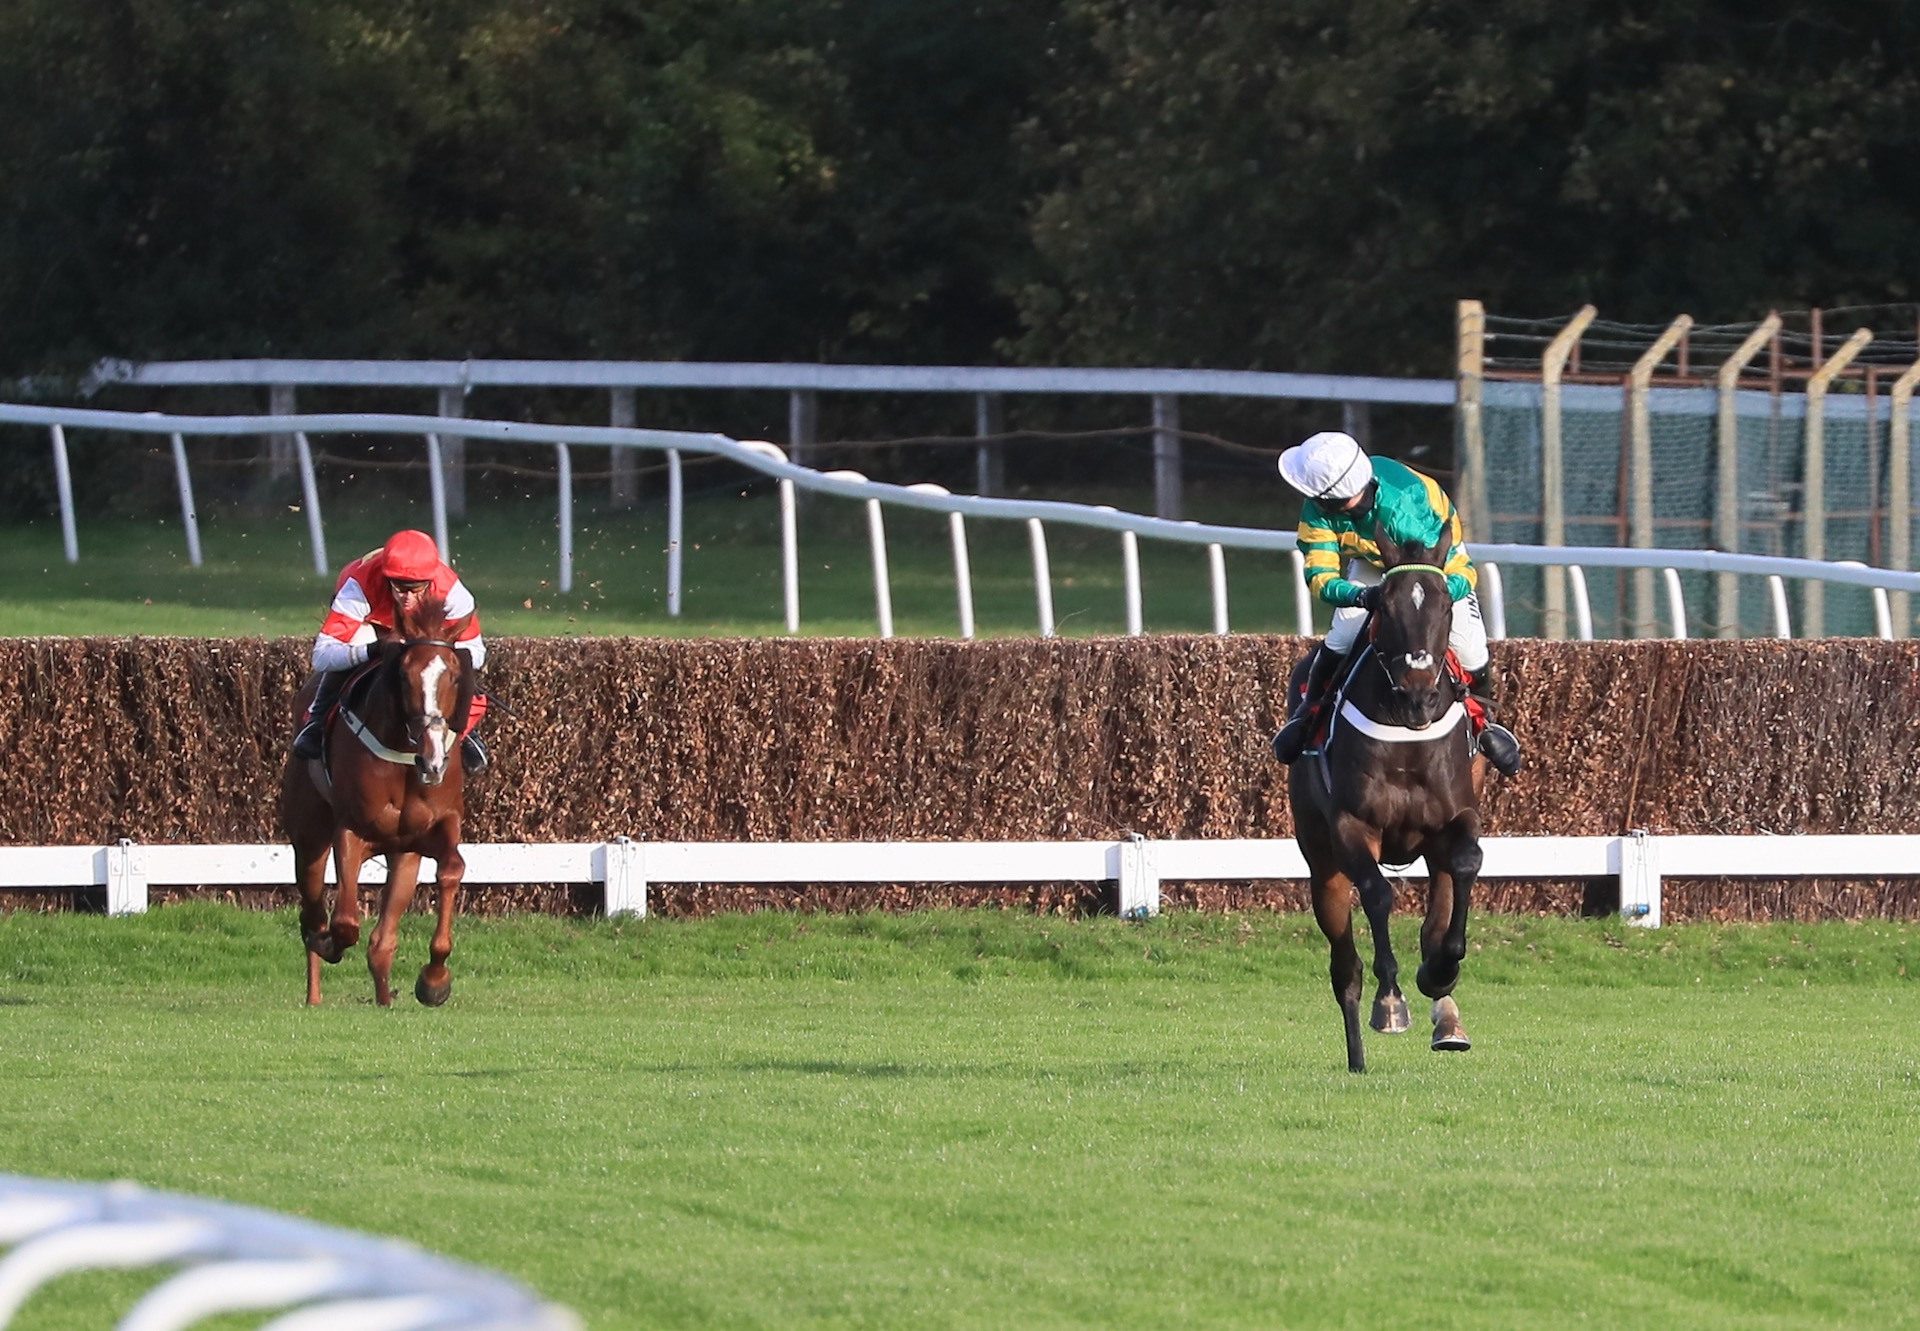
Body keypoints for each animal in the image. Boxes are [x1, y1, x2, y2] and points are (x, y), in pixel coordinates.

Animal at [276, 595, 474, 998]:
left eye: (454, 676)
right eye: (404, 675)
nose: (432, 760)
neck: (405, 756)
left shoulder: (436, 827)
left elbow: (451, 870)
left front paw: (435, 980)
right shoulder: (350, 831)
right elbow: (345, 923)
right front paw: (329, 942)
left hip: (404, 855)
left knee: (381, 944)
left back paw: (385, 997)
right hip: (309, 838)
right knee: (312, 911)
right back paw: (315, 989)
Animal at [1290, 526, 1482, 1075]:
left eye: (1445, 606)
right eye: (1386, 607)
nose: (1419, 694)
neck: (1408, 732)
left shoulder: (1458, 818)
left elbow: (1466, 864)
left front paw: (1441, 972)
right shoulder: (1352, 827)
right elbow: (1377, 894)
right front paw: (1391, 1001)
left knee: (1435, 916)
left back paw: (1447, 1019)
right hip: (1322, 867)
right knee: (1344, 966)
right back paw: (1357, 1056)